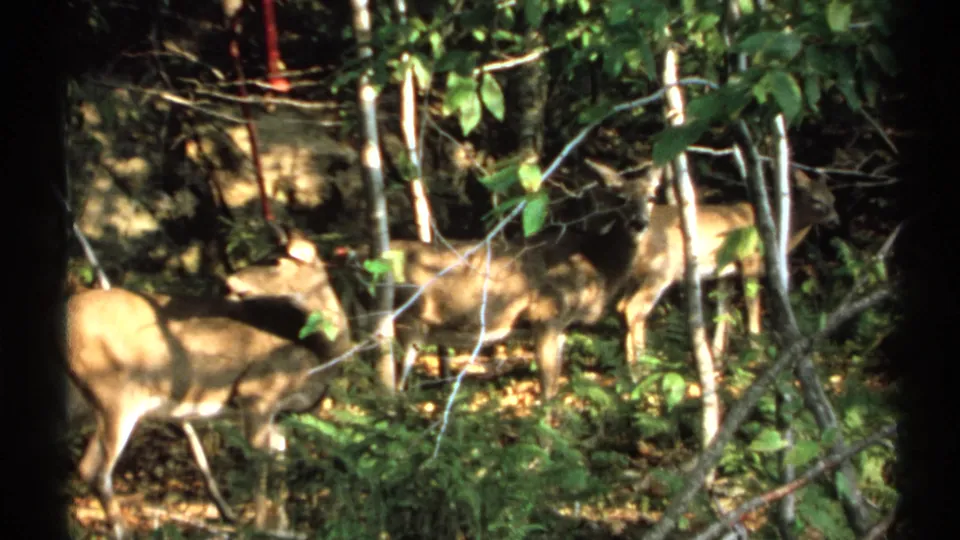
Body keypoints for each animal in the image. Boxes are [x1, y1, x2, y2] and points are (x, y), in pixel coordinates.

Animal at [63, 231, 353, 539]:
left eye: (275, 260)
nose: (227, 282)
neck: (319, 353)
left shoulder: (281, 415)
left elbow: (279, 468)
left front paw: (283, 528)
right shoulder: (256, 393)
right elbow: (259, 465)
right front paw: (261, 528)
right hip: (114, 390)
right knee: (94, 470)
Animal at [618, 169, 840, 367]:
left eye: (832, 198)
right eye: (815, 199)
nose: (834, 220)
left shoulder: (726, 272)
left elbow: (723, 310)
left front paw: (717, 357)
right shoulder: (749, 259)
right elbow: (752, 305)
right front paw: (756, 354)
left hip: (635, 276)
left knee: (623, 306)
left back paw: (631, 369)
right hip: (662, 268)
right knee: (634, 307)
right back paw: (642, 367)